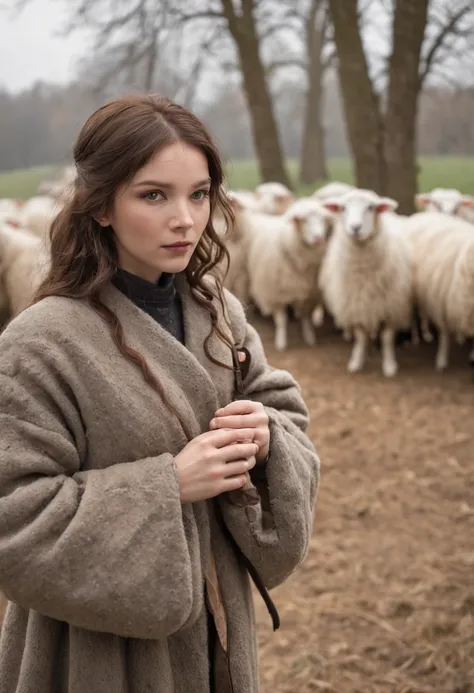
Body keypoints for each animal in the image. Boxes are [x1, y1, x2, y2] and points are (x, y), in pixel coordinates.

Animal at [243, 199, 336, 352]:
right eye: (304, 220)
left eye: (323, 220)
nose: (318, 238)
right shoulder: (277, 293)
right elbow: (282, 320)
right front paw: (281, 342)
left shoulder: (310, 293)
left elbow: (306, 317)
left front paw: (309, 337)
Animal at [318, 189, 414, 378]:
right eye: (342, 208)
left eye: (371, 207)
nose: (355, 228)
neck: (363, 273)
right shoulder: (356, 304)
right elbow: (361, 336)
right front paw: (357, 361)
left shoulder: (391, 305)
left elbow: (387, 338)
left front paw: (389, 366)